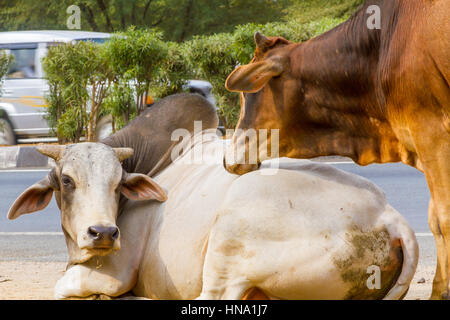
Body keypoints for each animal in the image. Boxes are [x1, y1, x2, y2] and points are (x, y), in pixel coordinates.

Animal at [7, 130, 418, 300]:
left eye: (117, 182)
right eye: (66, 181)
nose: (103, 233)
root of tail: (388, 214)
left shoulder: (116, 271)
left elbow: (63, 286)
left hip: (231, 239)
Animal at [225, 0, 450, 300]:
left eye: (248, 93)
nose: (228, 158)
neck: (381, 48)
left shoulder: (431, 132)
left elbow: (442, 217)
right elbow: (434, 217)